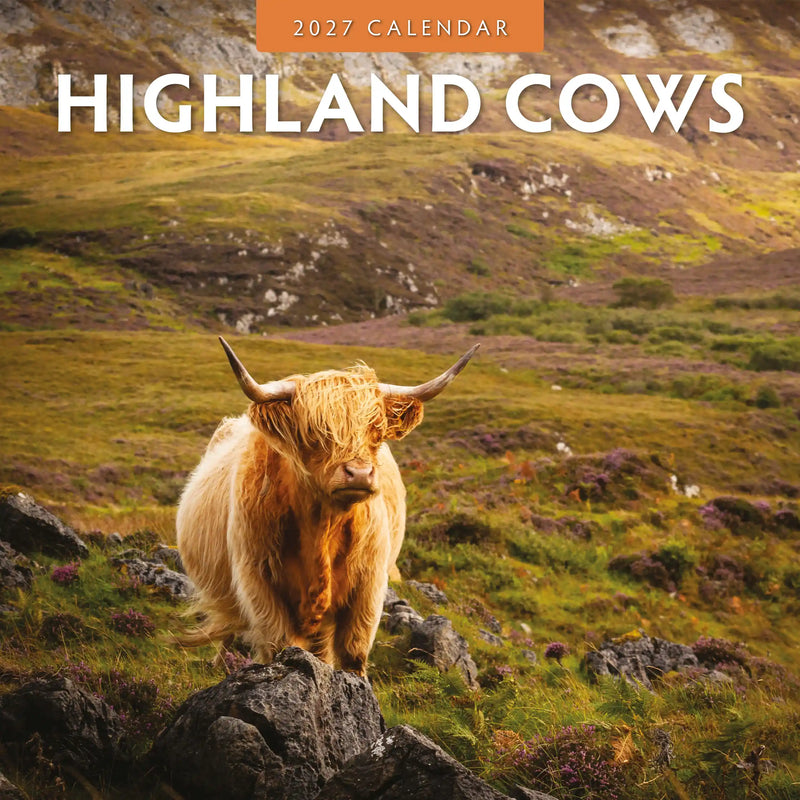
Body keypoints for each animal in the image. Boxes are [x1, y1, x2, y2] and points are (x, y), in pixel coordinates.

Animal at [176, 337, 479, 676]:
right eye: (314, 432)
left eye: (376, 432)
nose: (359, 473)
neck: (323, 527)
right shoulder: (257, 581)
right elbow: (278, 645)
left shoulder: (369, 585)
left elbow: (353, 651)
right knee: (230, 630)